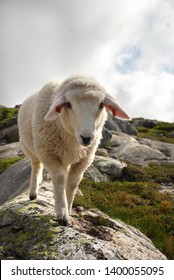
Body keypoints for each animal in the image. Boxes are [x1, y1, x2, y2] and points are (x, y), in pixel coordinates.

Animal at [18, 74, 129, 225]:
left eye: (101, 104)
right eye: (69, 104)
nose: (87, 138)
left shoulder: (85, 159)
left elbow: (72, 183)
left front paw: (69, 210)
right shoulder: (48, 154)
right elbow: (59, 179)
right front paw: (62, 213)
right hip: (30, 148)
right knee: (36, 166)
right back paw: (33, 193)